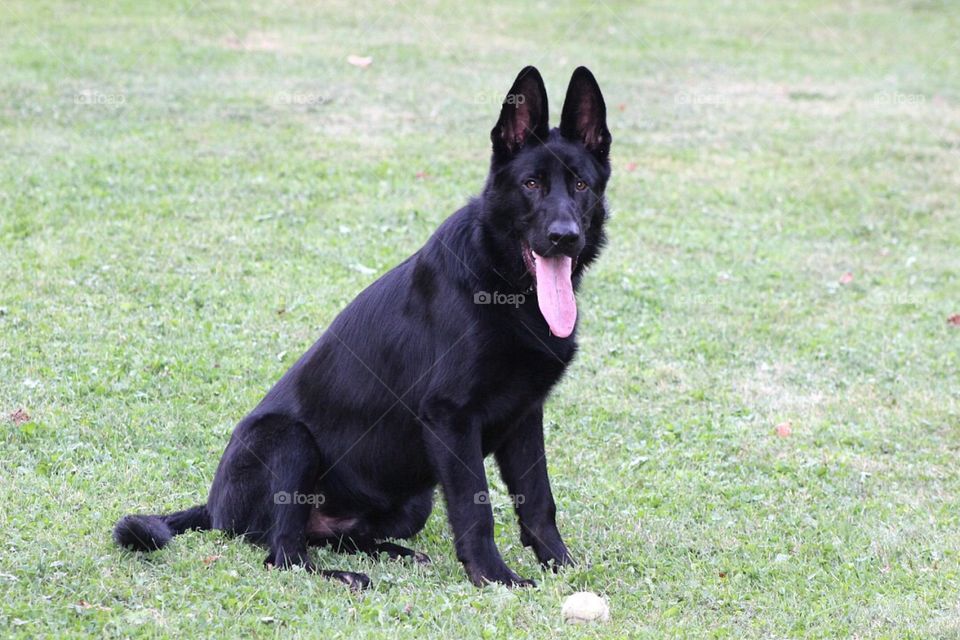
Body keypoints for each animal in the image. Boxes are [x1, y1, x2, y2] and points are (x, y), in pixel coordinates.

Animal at [112, 66, 608, 592]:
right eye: (531, 183)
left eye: (580, 185)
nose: (564, 237)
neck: (503, 282)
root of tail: (212, 508)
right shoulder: (452, 419)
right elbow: (477, 510)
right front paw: (493, 576)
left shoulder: (525, 417)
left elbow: (538, 501)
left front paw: (560, 564)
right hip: (290, 442)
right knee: (283, 553)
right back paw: (344, 576)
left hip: (415, 498)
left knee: (335, 537)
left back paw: (393, 553)